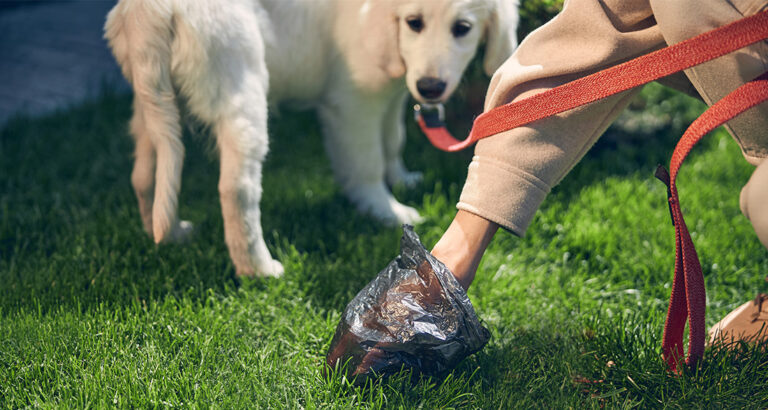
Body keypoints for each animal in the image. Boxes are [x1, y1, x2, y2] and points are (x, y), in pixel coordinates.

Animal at [105, 0, 520, 278]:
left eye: (462, 27)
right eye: (414, 23)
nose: (430, 88)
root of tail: (150, 11)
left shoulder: (391, 94)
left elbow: (393, 138)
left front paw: (402, 179)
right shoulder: (353, 101)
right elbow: (366, 162)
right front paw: (386, 210)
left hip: (156, 101)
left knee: (146, 173)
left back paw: (169, 232)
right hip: (240, 87)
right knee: (236, 188)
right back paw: (258, 267)